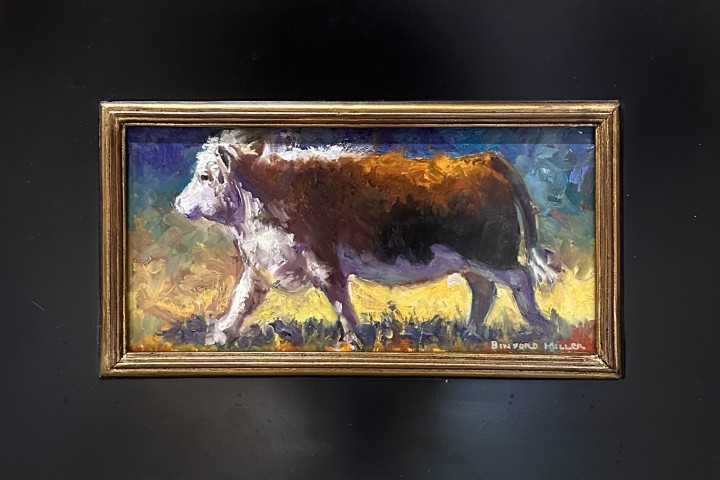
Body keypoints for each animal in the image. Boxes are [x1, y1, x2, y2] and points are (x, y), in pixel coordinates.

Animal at [174, 130, 559, 349]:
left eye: (205, 176)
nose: (178, 204)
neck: (273, 192)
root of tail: (481, 159)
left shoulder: (324, 261)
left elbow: (341, 302)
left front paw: (354, 341)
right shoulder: (264, 263)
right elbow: (242, 299)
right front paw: (220, 335)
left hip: (491, 255)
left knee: (519, 279)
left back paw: (543, 328)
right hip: (470, 261)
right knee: (484, 290)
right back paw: (470, 334)